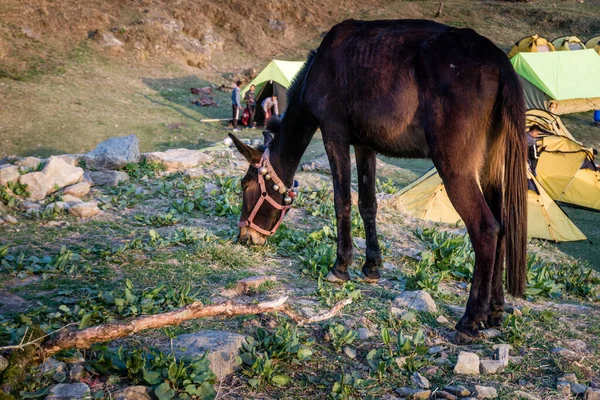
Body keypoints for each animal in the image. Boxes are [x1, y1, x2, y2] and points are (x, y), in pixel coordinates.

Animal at [229, 18, 524, 342]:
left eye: (245, 186)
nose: (244, 237)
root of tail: (500, 63)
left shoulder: (334, 133)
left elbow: (342, 201)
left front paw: (341, 266)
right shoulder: (364, 144)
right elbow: (368, 204)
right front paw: (371, 266)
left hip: (456, 167)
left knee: (486, 228)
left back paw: (471, 319)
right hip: (491, 166)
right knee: (503, 226)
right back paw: (494, 310)